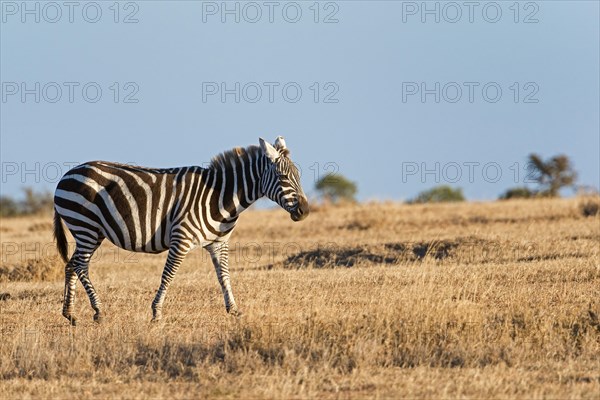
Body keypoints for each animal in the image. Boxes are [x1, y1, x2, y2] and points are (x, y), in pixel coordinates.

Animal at [52, 138, 310, 324]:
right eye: (282, 176)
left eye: (298, 176)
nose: (305, 211)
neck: (219, 196)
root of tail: (67, 174)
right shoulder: (181, 239)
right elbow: (168, 275)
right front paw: (156, 313)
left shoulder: (219, 242)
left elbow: (224, 276)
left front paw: (234, 309)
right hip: (85, 225)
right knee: (81, 266)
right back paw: (98, 311)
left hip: (91, 231)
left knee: (71, 264)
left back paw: (70, 314)